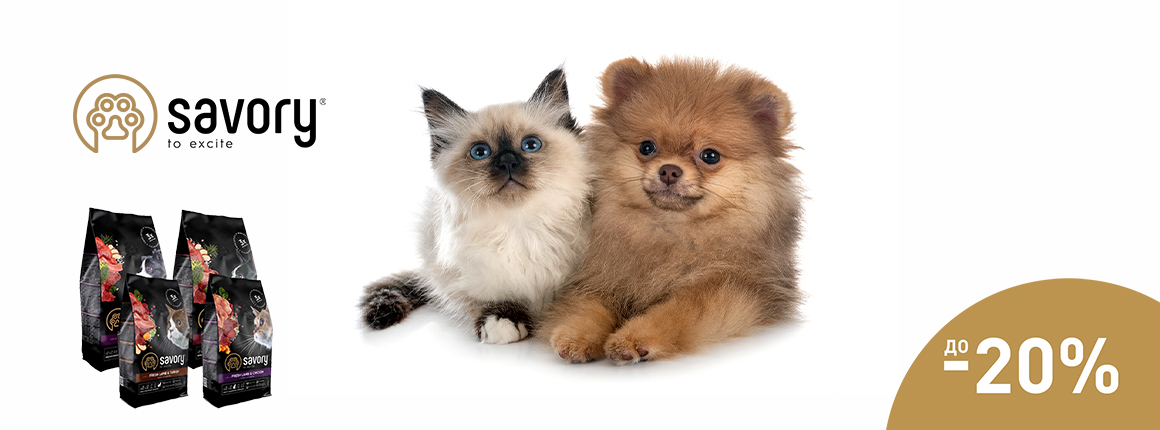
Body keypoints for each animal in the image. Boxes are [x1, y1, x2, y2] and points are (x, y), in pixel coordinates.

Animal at [360, 68, 592, 344]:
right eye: (480, 152)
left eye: (530, 145)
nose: (507, 161)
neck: (521, 228)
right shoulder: (463, 276)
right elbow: (490, 299)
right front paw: (502, 320)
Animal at [542, 58, 803, 364]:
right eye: (647, 147)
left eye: (710, 155)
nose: (669, 170)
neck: (669, 229)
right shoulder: (598, 278)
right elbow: (585, 308)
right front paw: (576, 336)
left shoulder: (732, 288)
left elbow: (677, 313)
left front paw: (635, 338)